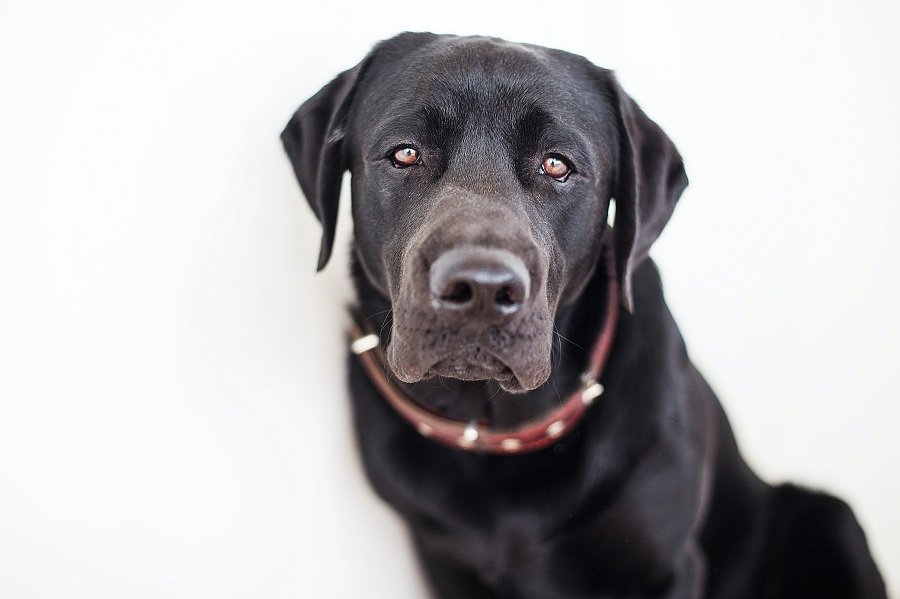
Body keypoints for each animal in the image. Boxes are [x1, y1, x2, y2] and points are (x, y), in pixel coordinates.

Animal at [284, 31, 884, 599]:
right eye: (405, 154)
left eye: (557, 165)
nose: (481, 288)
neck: (504, 430)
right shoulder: (445, 562)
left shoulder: (668, 566)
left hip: (832, 518)